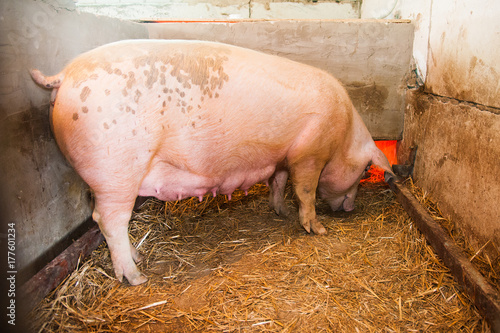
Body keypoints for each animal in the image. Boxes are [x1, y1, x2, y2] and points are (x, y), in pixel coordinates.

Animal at [31, 38, 394, 282]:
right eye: (365, 171)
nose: (350, 209)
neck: (342, 134)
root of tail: (62, 75)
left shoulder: (282, 156)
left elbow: (277, 182)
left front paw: (281, 212)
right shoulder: (309, 154)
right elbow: (305, 191)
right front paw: (317, 229)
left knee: (106, 221)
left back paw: (138, 257)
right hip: (116, 170)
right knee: (108, 220)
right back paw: (136, 277)